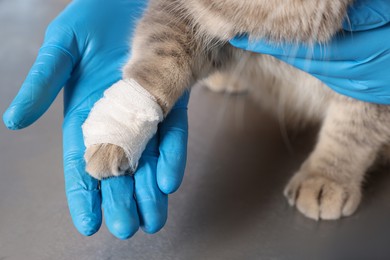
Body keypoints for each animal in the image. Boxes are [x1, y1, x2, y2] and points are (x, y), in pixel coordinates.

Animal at [82, 0, 390, 220]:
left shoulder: (373, 78)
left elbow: (353, 128)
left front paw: (326, 176)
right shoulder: (183, 12)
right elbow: (159, 64)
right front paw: (112, 138)